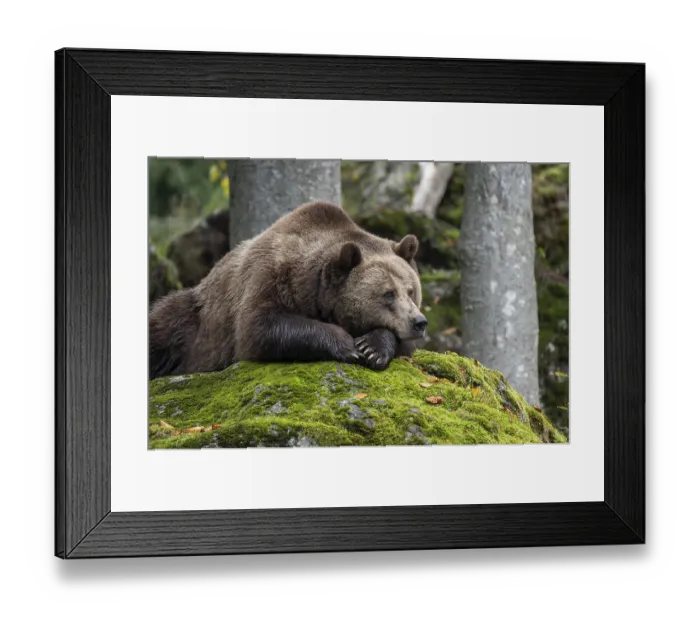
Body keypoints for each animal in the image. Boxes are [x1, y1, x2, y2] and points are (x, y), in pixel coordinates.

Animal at [149, 201, 428, 379]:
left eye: (410, 290)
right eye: (388, 294)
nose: (419, 322)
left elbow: (403, 346)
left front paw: (372, 348)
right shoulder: (270, 277)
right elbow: (259, 327)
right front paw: (346, 344)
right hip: (196, 321)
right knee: (165, 324)